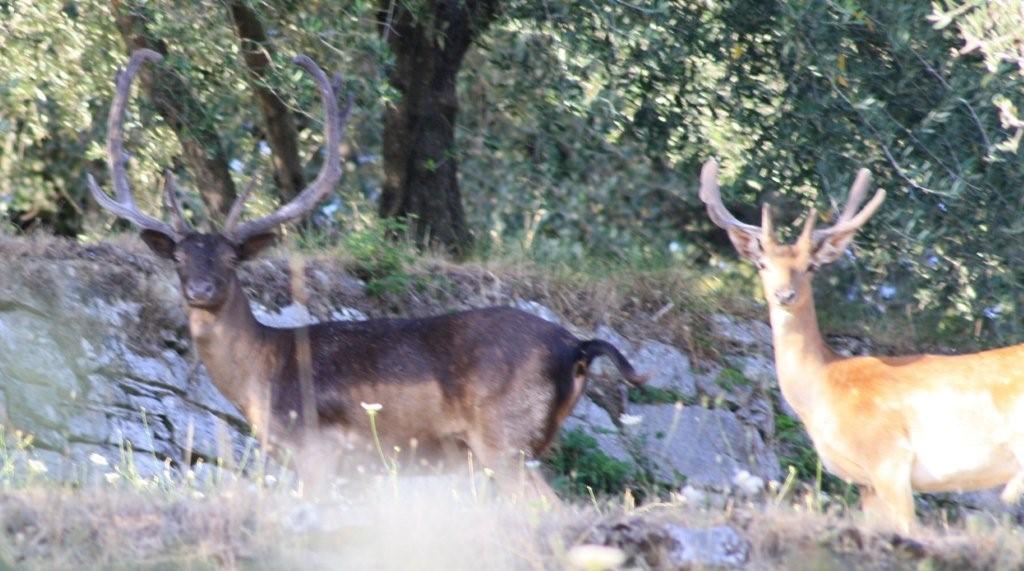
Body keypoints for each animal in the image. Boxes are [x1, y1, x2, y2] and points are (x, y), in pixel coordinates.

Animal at [92, 49, 643, 495]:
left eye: (232, 259)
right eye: (179, 258)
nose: (201, 288)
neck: (264, 375)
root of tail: (577, 347)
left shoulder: (316, 451)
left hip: (504, 439)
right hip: (525, 445)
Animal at [700, 159, 1024, 532]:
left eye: (810, 266)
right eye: (762, 263)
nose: (784, 294)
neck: (823, 389)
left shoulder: (889, 457)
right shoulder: (866, 483)